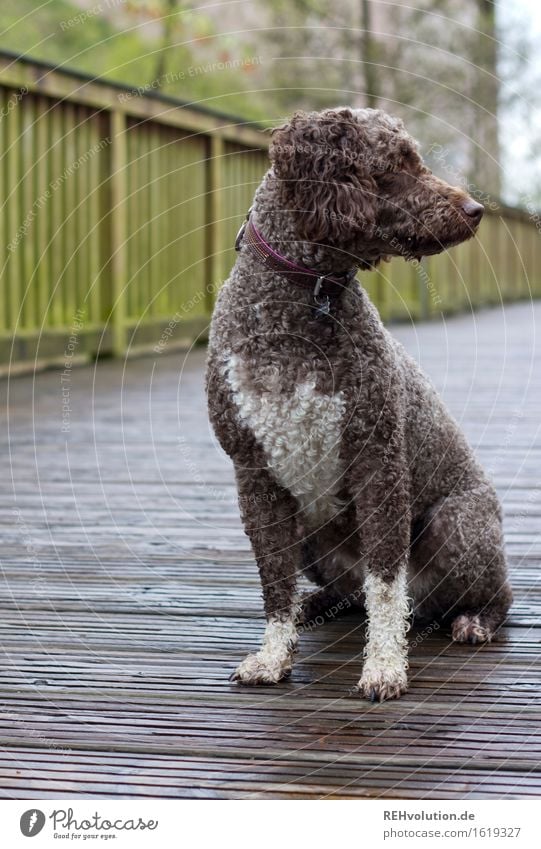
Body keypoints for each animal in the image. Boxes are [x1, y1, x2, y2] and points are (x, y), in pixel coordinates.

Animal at [205, 107, 512, 704]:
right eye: (397, 165)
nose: (476, 209)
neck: (303, 303)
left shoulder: (380, 463)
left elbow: (386, 587)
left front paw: (385, 668)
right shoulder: (253, 476)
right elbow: (273, 582)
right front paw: (273, 656)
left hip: (458, 523)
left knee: (493, 595)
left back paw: (474, 621)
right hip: (309, 537)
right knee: (348, 593)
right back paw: (316, 605)